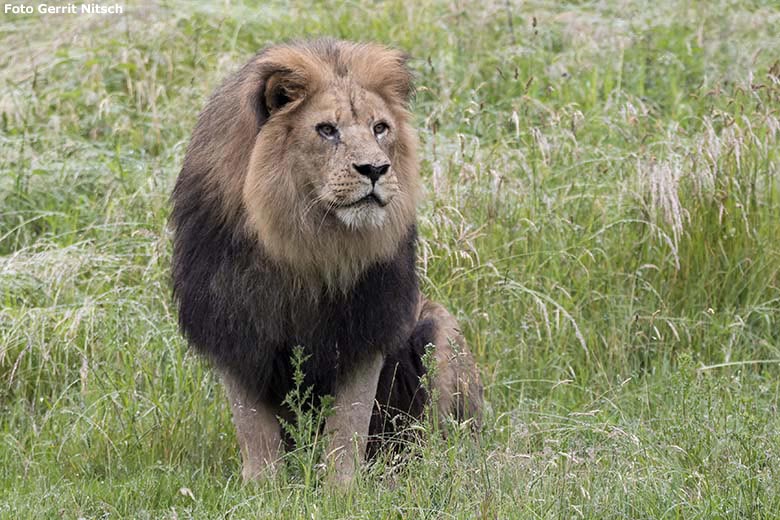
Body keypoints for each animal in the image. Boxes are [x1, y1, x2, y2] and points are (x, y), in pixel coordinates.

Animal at [171, 39, 482, 484]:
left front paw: (343, 489)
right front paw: (262, 487)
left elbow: (349, 422)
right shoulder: (234, 324)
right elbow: (253, 426)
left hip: (441, 330)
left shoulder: (367, 324)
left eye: (380, 128)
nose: (375, 169)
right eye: (327, 130)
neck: (309, 246)